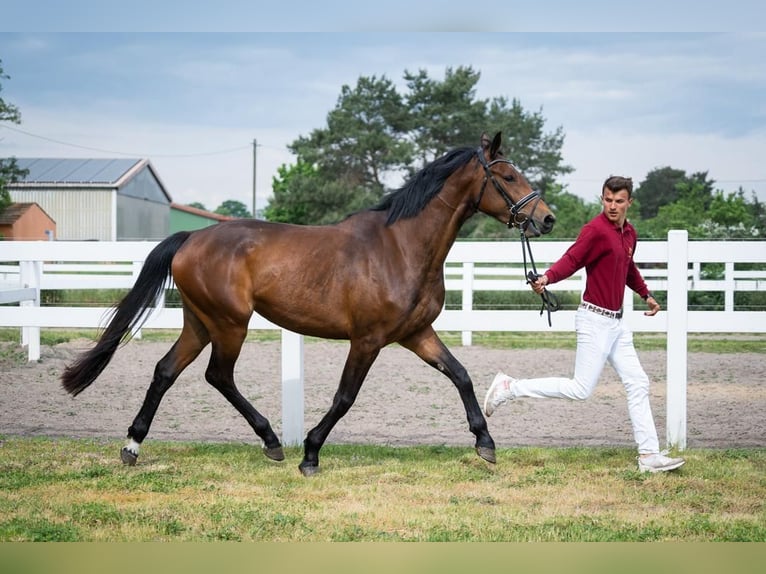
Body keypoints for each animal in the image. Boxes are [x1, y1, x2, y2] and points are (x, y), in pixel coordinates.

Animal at [58, 133, 552, 480]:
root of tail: (192, 237)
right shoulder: (368, 340)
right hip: (230, 324)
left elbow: (461, 375)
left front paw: (485, 442)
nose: (545, 218)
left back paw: (132, 446)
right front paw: (311, 453)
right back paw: (273, 441)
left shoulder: (416, 334)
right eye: (509, 177)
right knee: (218, 376)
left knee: (165, 371)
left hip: (199, 323)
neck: (401, 247)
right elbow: (345, 397)